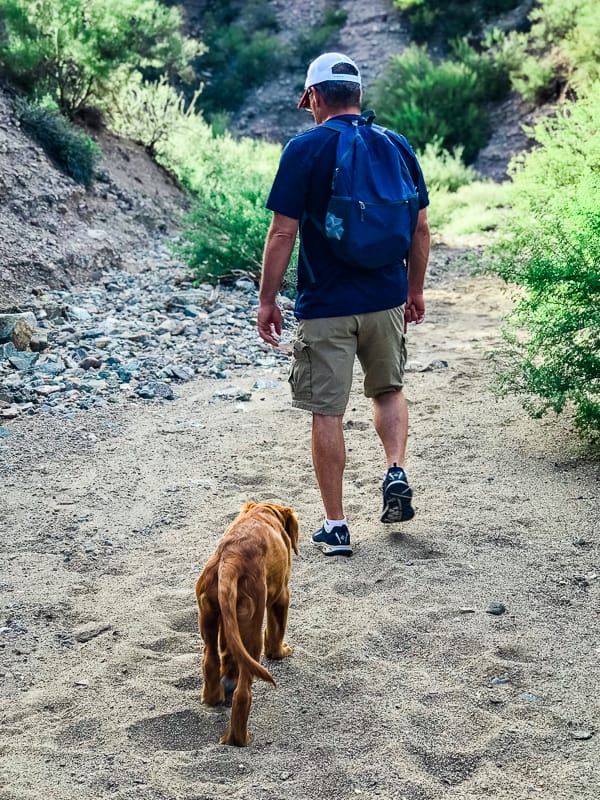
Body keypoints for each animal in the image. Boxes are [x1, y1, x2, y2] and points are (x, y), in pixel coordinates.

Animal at [196, 500, 298, 744]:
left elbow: (228, 650)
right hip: (252, 627)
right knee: (243, 693)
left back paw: (214, 697)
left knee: (210, 660)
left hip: (209, 616)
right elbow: (276, 631)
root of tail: (230, 560)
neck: (264, 512)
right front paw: (281, 652)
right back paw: (239, 739)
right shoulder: (282, 595)